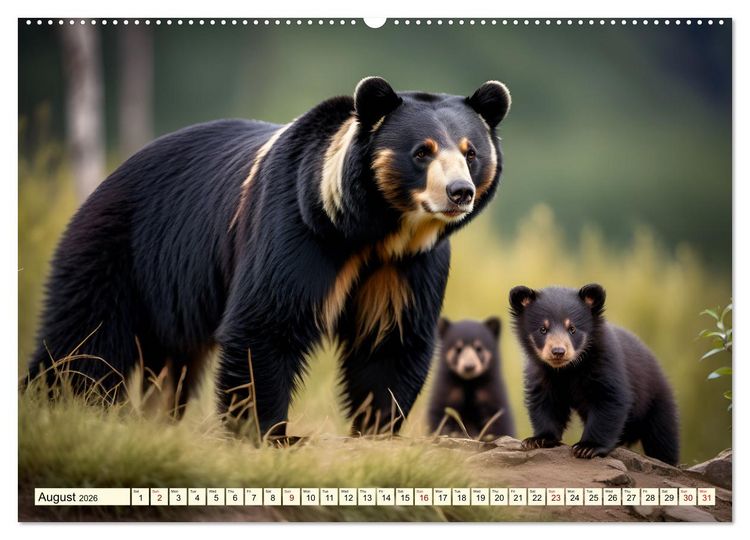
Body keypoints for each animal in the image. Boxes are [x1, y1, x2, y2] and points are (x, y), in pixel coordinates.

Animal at [27, 76, 511, 438]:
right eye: (422, 151)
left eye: (471, 153)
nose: (459, 192)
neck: (373, 230)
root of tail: (109, 177)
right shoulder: (296, 229)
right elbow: (267, 323)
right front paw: (265, 431)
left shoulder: (407, 266)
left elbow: (390, 342)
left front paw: (375, 428)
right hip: (122, 251)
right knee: (83, 340)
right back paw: (58, 407)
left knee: (169, 364)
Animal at [508, 284, 679, 465]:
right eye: (542, 329)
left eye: (572, 329)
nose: (558, 352)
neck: (567, 369)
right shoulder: (542, 372)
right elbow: (546, 402)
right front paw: (537, 439)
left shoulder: (605, 363)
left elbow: (609, 400)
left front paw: (587, 447)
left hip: (657, 402)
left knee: (662, 437)